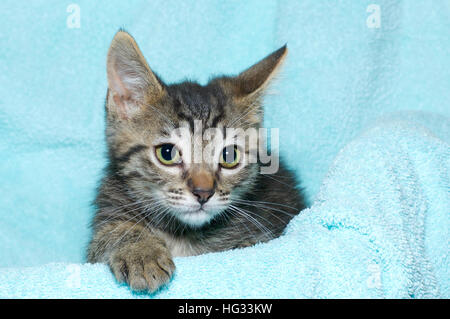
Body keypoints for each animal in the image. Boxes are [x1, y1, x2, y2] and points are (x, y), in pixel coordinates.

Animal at [87, 31, 306, 294]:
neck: (182, 233)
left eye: (229, 156)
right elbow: (111, 232)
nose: (203, 193)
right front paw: (141, 252)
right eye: (167, 153)